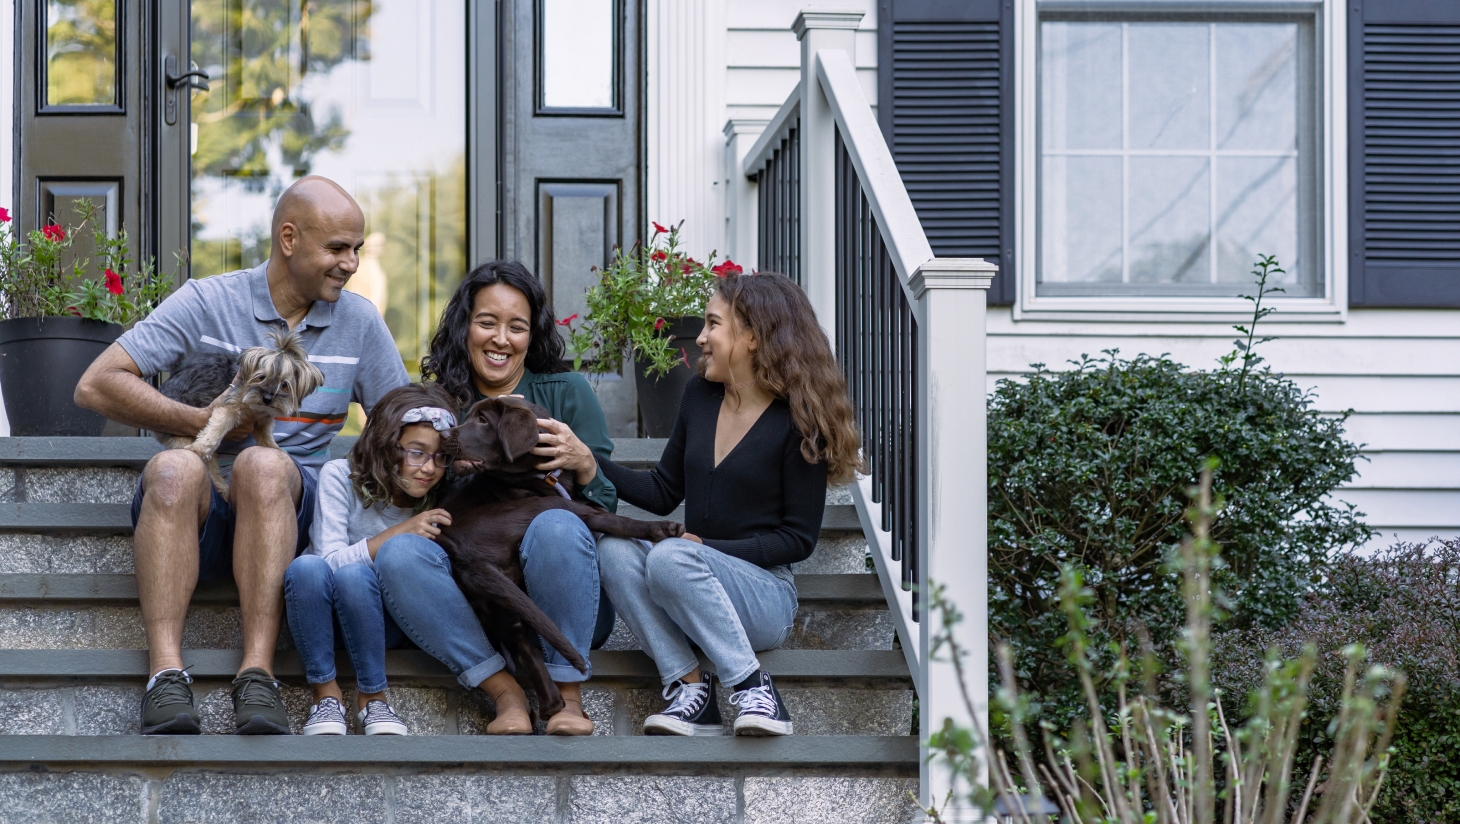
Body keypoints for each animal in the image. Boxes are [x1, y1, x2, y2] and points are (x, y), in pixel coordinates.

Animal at [162, 330, 328, 496]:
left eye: (285, 385)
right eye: (261, 377)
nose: (267, 398)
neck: (256, 407)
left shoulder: (263, 420)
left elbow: (266, 439)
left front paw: (277, 450)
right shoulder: (228, 407)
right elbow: (216, 429)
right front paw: (200, 447)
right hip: (181, 436)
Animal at [432, 391, 683, 721]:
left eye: (483, 420)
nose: (442, 435)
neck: (541, 474)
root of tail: (463, 556)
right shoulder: (568, 501)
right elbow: (606, 516)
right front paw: (659, 529)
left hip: (498, 604)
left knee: (524, 646)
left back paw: (554, 706)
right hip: (543, 509)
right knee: (594, 517)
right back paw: (660, 528)